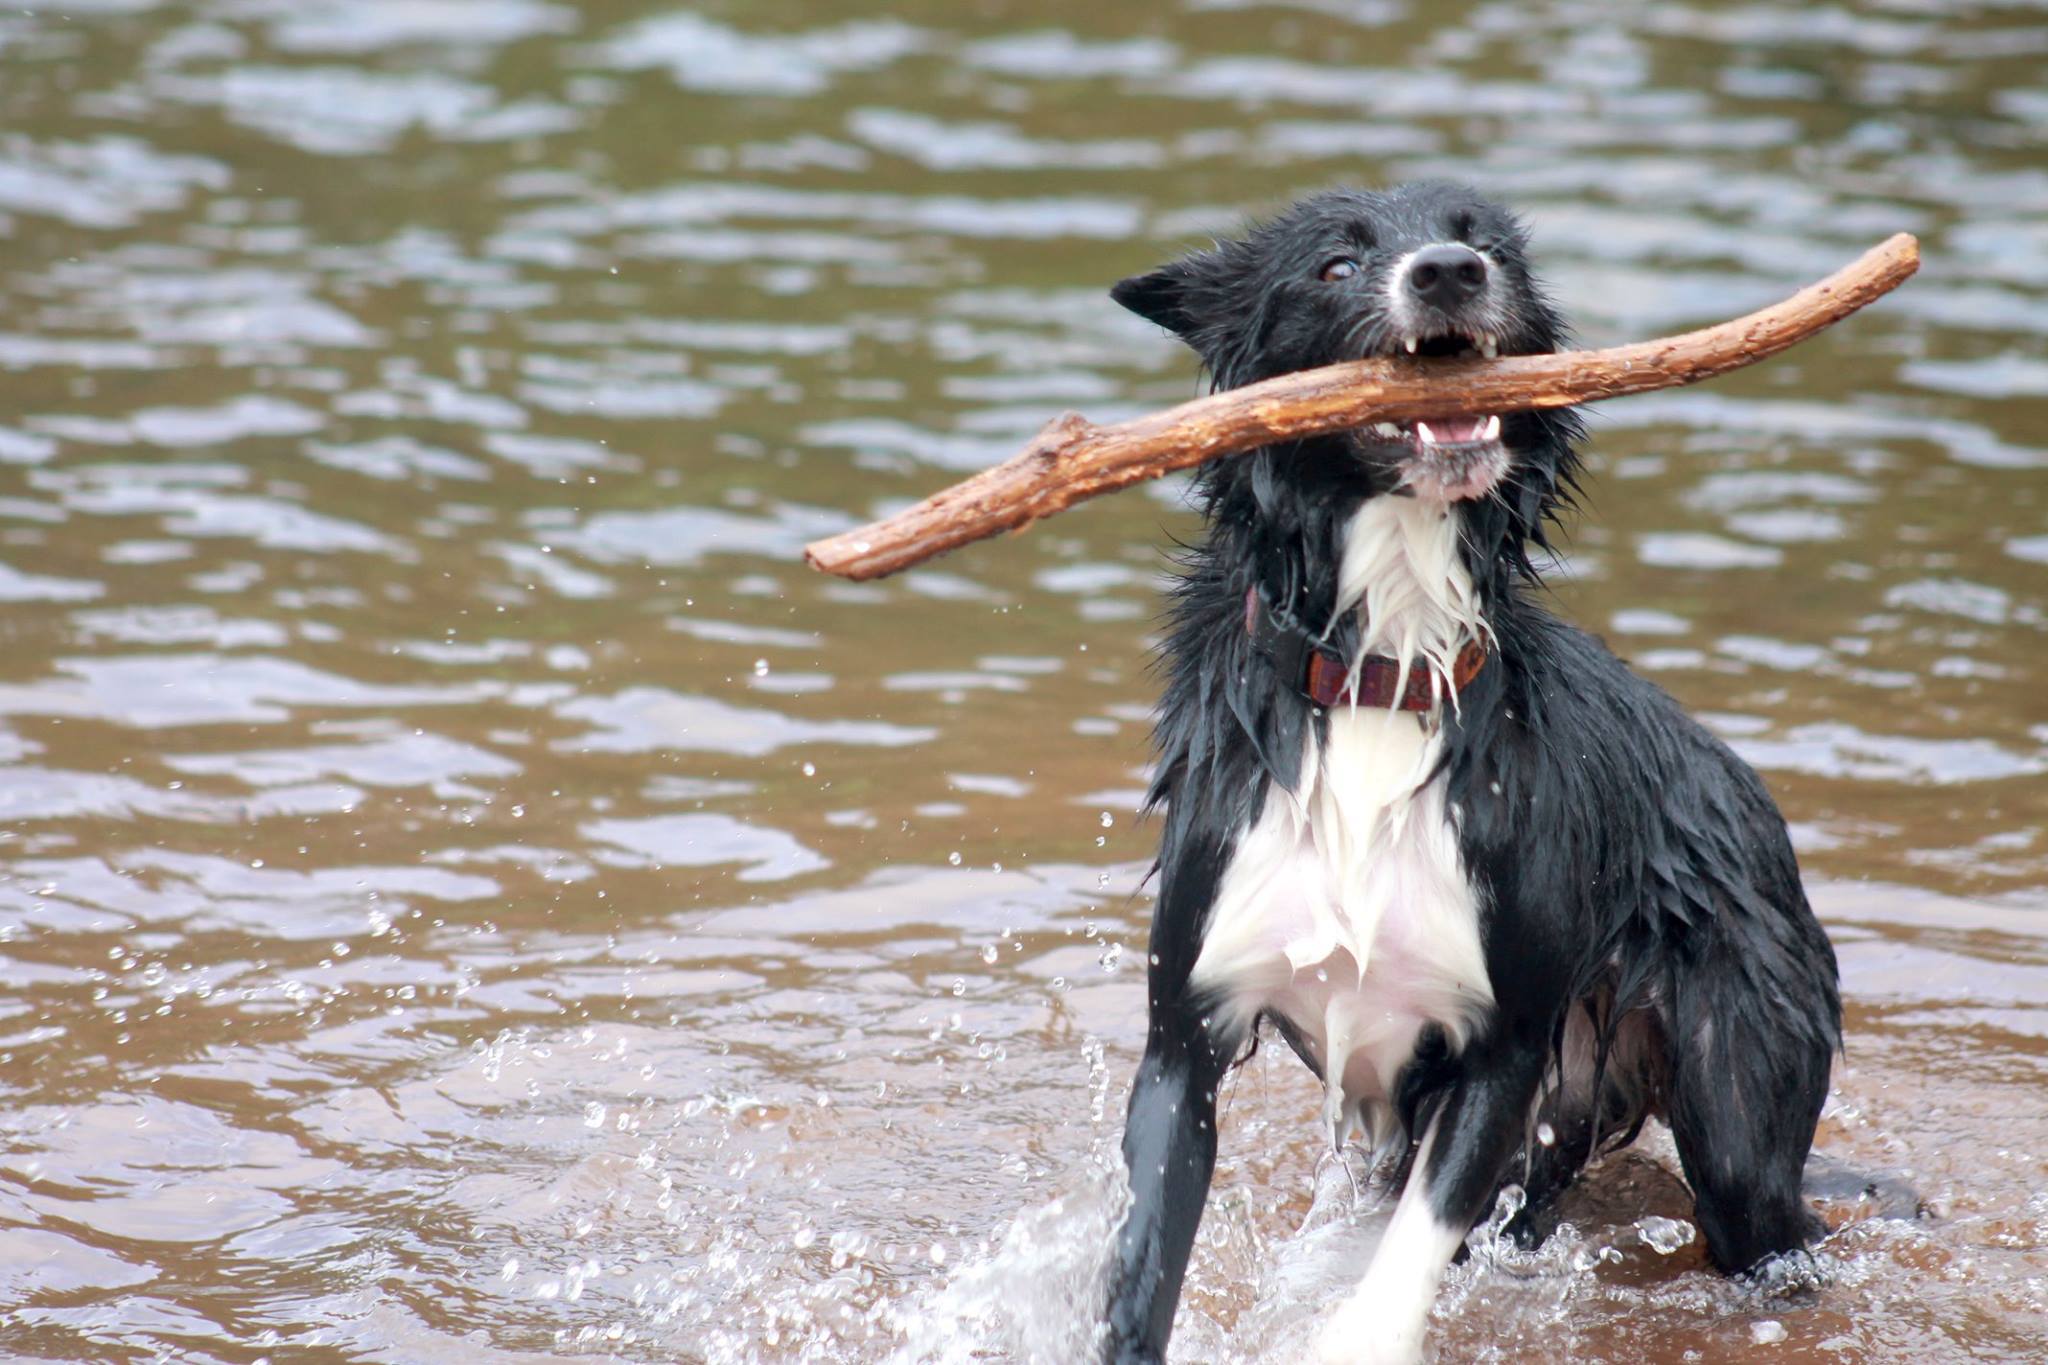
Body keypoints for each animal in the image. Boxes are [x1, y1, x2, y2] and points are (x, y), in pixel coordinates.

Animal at [1097, 184, 1851, 1365]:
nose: (1449, 273)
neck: (1380, 674)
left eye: (1484, 243)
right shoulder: (1186, 1034)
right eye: (1336, 264)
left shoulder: (1500, 1046)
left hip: (1737, 1098)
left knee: (1763, 1213)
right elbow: (1142, 1258)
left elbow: (1412, 1245)